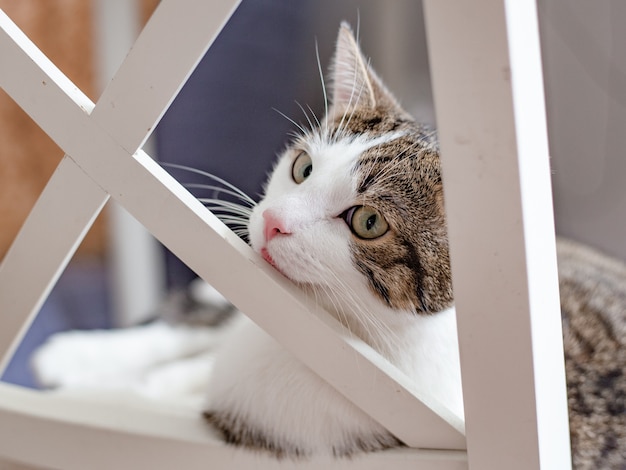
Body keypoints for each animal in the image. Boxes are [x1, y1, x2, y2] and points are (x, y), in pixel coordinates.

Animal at [31, 21, 624, 466]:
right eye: (302, 167)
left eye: (368, 222)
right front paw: (89, 362)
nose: (273, 223)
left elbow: (143, 403)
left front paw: (100, 396)